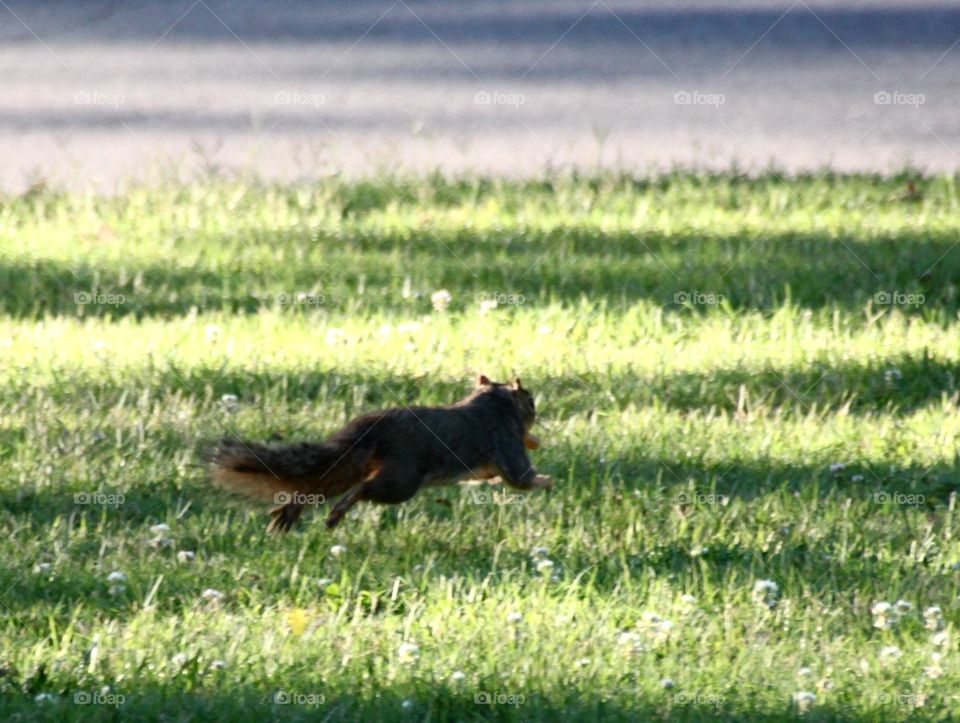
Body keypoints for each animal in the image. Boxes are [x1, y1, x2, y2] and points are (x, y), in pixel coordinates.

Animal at [210, 376, 556, 536]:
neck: (492, 403)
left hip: (356, 464)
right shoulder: (506, 443)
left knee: (321, 484)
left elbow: (492, 476)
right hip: (401, 480)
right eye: (531, 401)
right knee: (361, 489)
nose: (536, 427)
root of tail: (375, 428)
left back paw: (289, 512)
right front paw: (548, 481)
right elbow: (521, 479)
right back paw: (336, 512)